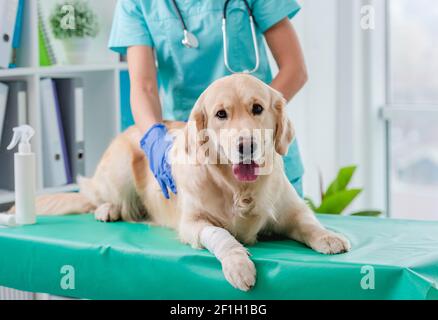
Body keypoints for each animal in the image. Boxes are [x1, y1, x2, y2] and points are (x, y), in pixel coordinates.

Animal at [26, 74, 350, 292]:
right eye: (221, 114)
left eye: (257, 108)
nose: (246, 145)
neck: (238, 190)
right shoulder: (193, 223)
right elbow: (222, 236)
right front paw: (239, 264)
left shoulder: (292, 209)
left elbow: (308, 222)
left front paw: (329, 236)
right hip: (118, 168)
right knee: (95, 196)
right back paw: (108, 209)